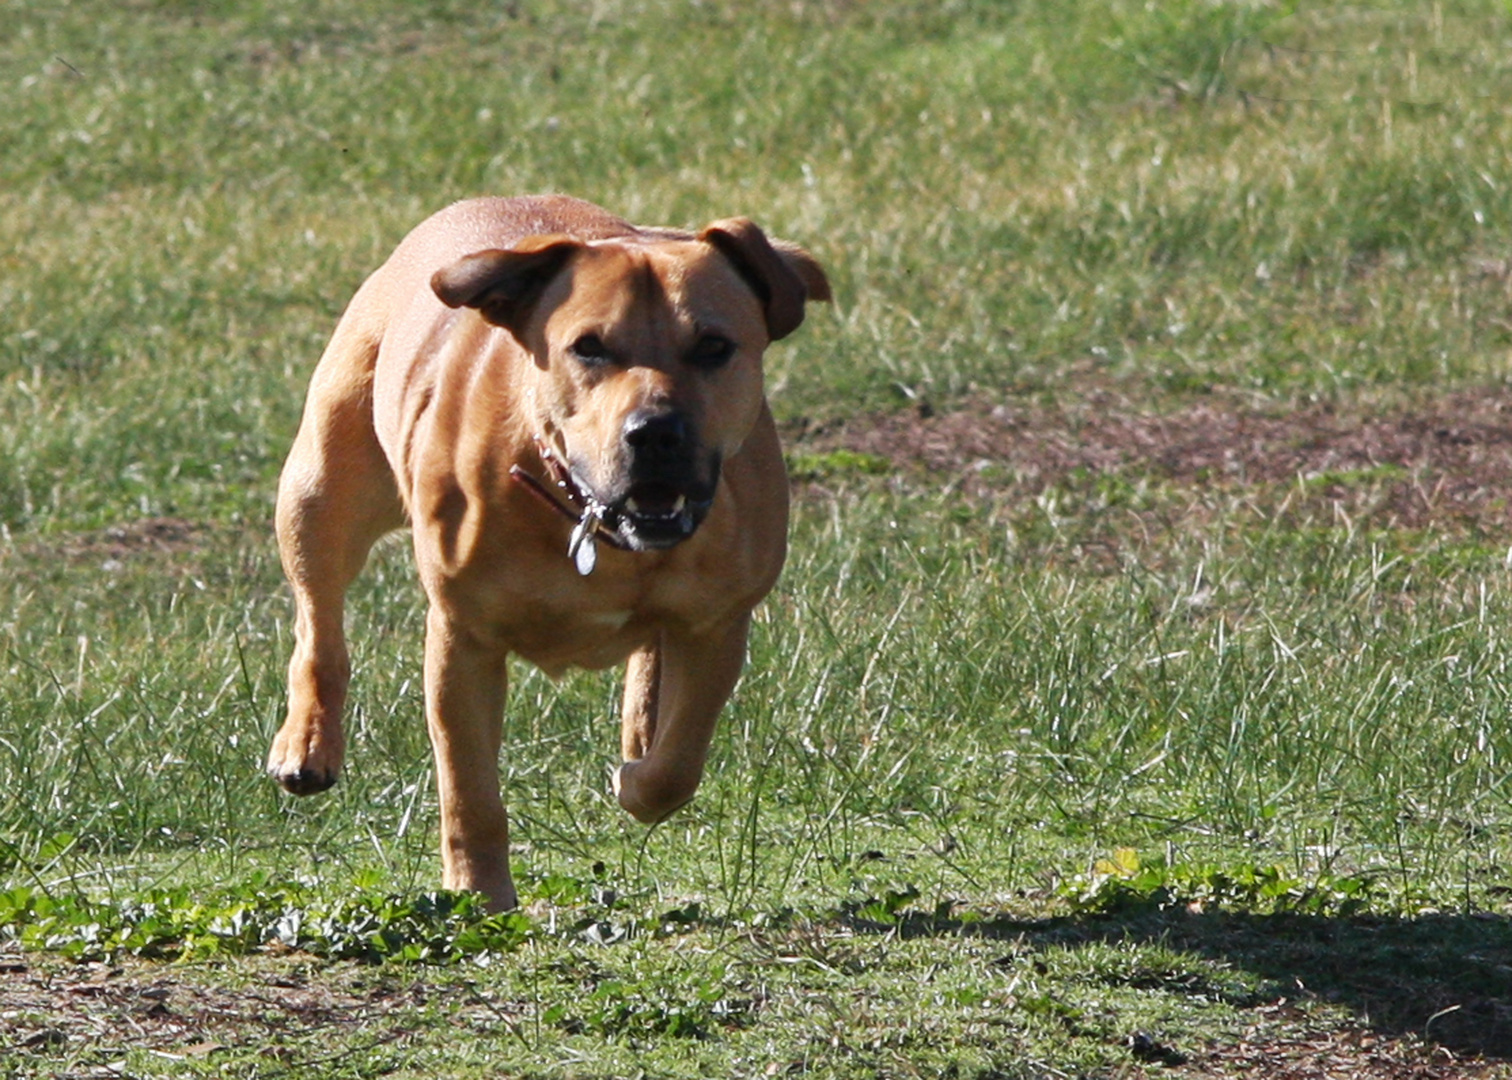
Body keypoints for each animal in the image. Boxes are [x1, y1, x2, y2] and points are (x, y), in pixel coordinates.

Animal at [263, 195, 828, 907]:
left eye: (713, 346)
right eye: (588, 347)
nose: (655, 432)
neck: (589, 513)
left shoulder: (718, 622)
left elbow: (677, 758)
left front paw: (636, 775)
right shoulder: (464, 637)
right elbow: (468, 785)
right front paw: (478, 891)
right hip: (322, 488)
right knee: (320, 621)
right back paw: (307, 743)